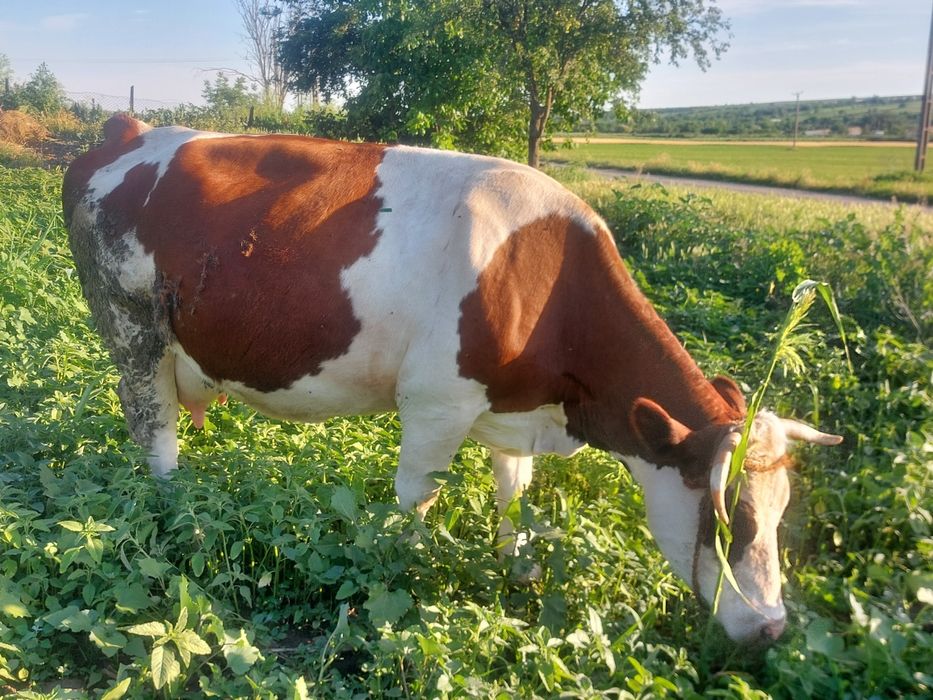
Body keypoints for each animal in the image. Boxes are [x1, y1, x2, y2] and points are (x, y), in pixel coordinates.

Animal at [63, 115, 842, 644]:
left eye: (780, 514)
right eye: (728, 517)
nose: (772, 628)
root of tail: (133, 128)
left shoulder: (513, 412)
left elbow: (513, 496)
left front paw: (517, 570)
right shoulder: (436, 403)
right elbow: (416, 502)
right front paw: (400, 576)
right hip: (131, 326)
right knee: (154, 430)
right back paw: (180, 512)